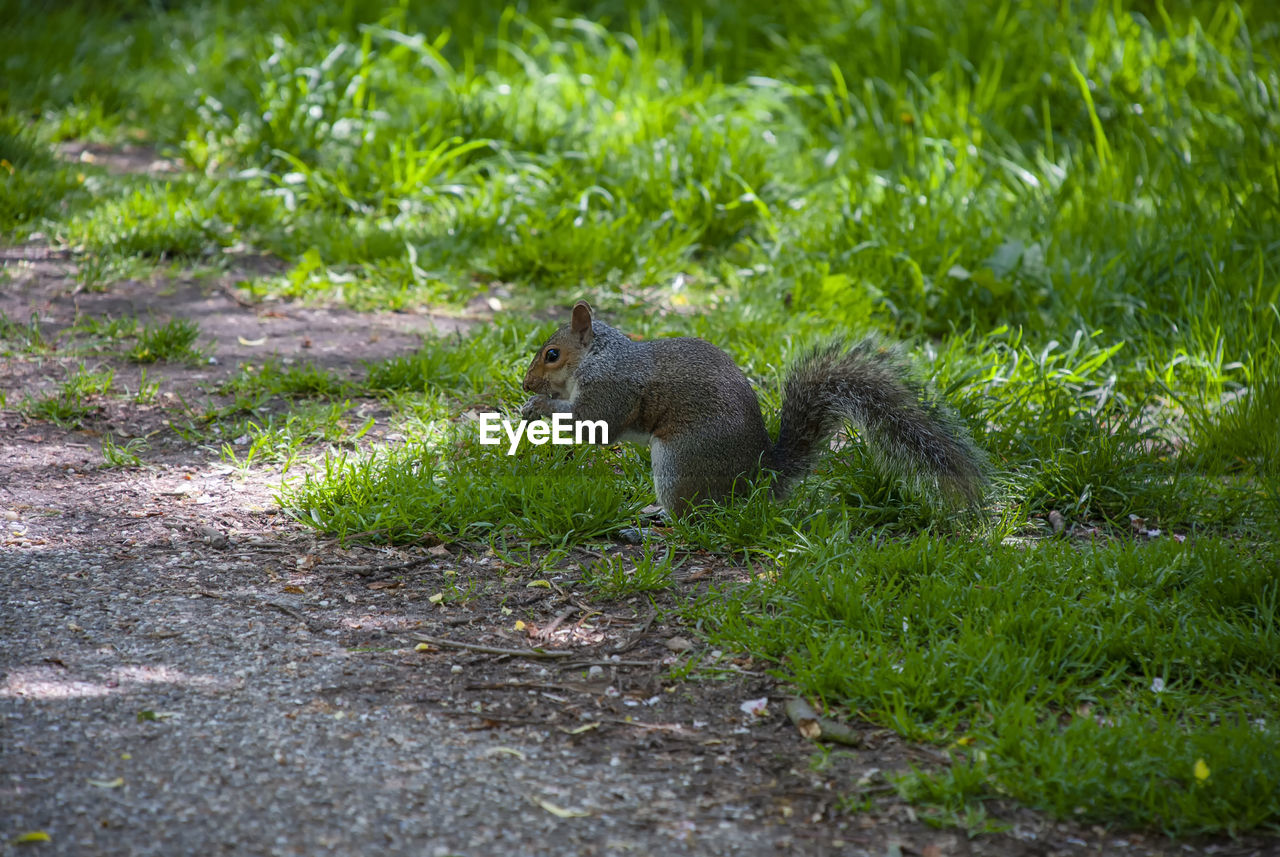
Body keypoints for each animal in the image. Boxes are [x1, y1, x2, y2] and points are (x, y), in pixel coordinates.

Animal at [522, 301, 988, 516]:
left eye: (551, 354)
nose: (525, 383)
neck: (598, 357)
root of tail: (757, 482)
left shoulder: (612, 389)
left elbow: (589, 425)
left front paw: (541, 405)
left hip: (678, 461)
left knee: (695, 513)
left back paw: (657, 517)